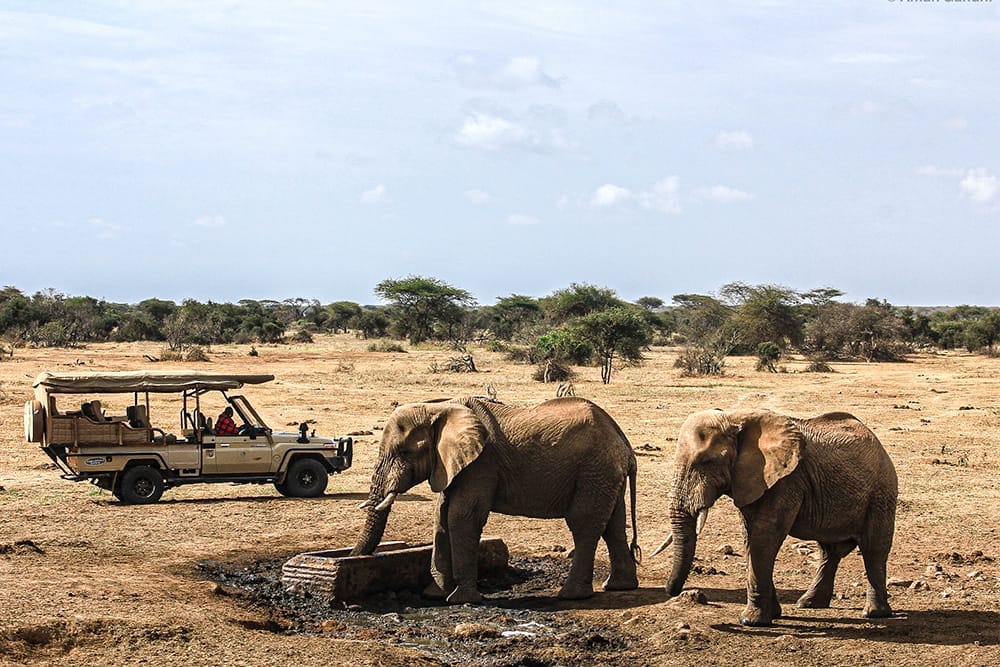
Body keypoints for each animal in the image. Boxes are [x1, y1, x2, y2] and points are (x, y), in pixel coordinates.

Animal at [352, 396, 641, 604]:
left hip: (594, 470)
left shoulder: (482, 463)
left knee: (584, 525)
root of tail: (624, 442)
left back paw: (570, 596)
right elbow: (441, 516)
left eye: (403, 452)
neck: (438, 408)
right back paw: (618, 586)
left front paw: (462, 600)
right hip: (605, 474)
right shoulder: (452, 464)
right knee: (613, 526)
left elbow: (461, 516)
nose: (354, 558)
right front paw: (434, 595)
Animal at [653, 409, 897, 626]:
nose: (672, 591)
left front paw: (750, 621)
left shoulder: (786, 481)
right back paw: (808, 604)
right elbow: (750, 539)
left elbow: (764, 538)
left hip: (881, 493)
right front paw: (774, 614)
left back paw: (874, 614)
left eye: (706, 462)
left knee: (874, 550)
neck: (734, 417)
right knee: (829, 552)